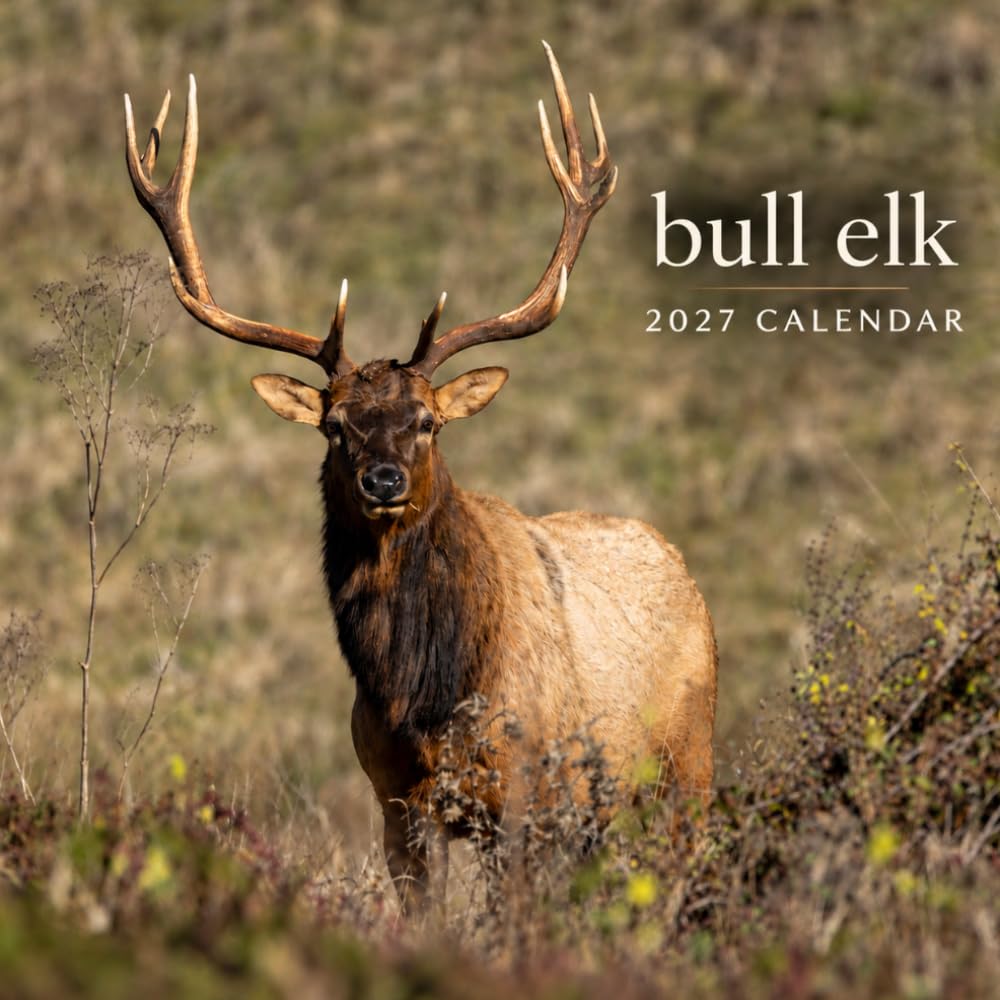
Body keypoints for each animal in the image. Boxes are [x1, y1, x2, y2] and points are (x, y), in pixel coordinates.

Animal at [124, 44, 718, 913]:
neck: (421, 696)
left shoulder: (523, 796)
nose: (382, 480)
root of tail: (684, 570)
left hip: (689, 760)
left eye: (429, 421)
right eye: (336, 425)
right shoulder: (393, 801)